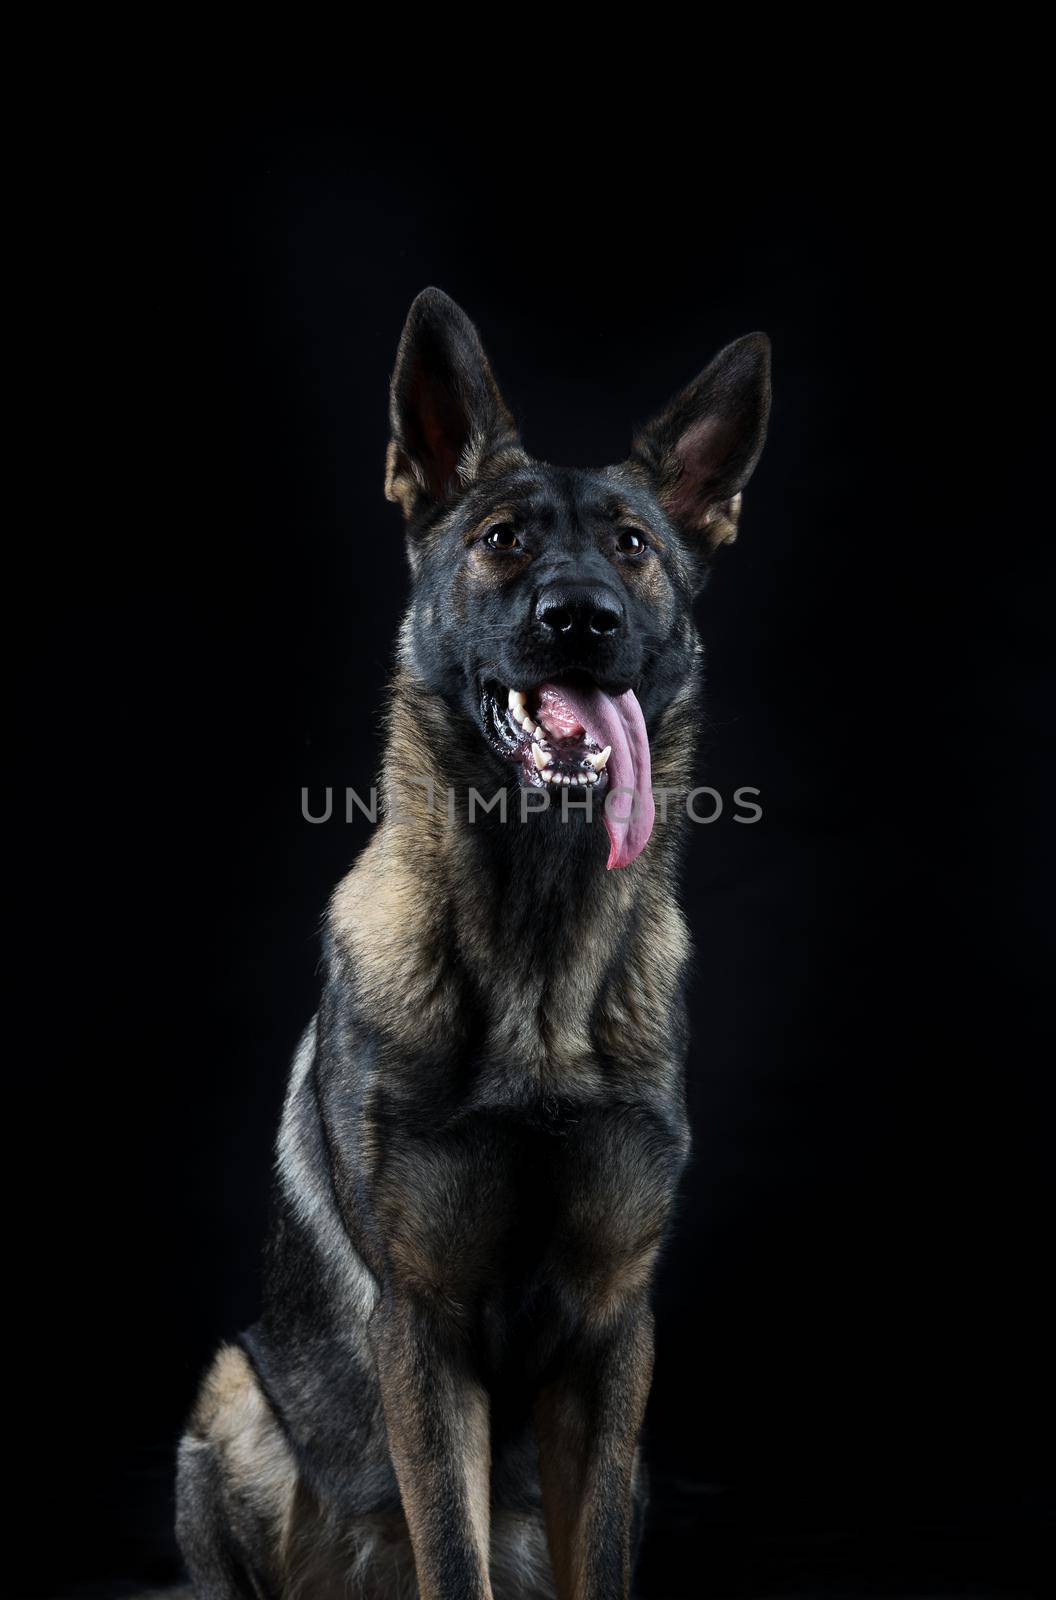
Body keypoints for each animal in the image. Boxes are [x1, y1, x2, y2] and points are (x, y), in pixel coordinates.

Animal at [173, 291, 768, 1600]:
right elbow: (453, 1548)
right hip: (230, 1398)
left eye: (633, 546)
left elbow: (599, 1560)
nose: (581, 618)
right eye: (500, 539)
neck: (537, 949)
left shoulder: (613, 1337)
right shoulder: (423, 1325)